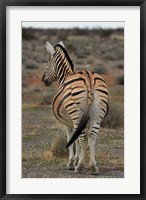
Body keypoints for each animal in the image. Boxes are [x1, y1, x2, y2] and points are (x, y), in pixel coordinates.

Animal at [42, 41, 108, 174]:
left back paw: (80, 167)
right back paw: (93, 167)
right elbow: (83, 140)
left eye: (47, 61)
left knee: (81, 137)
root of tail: (89, 77)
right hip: (97, 116)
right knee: (92, 137)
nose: (44, 80)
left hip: (76, 115)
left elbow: (72, 139)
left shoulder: (68, 123)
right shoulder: (85, 123)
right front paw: (79, 159)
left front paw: (73, 162)